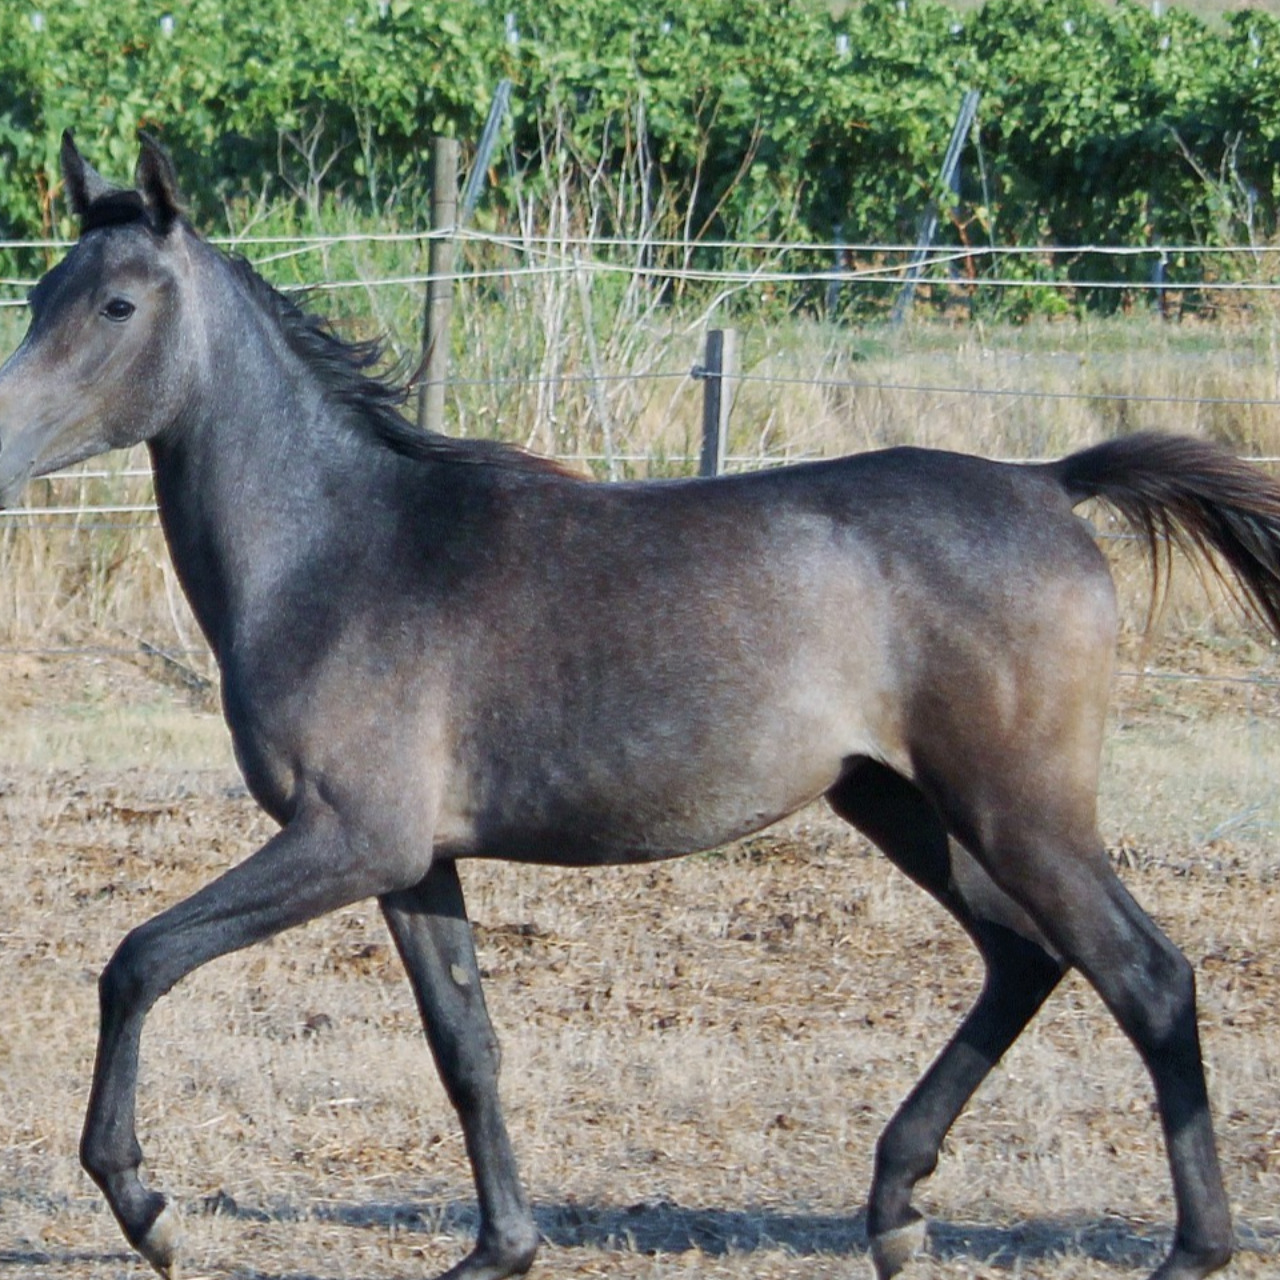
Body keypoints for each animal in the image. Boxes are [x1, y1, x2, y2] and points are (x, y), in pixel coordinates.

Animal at [2, 132, 1280, 1280]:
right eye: (42, 290)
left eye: (115, 303)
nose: (2, 450)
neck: (342, 549)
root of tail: (1046, 483)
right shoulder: (413, 859)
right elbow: (465, 1044)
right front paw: (500, 1249)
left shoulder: (347, 837)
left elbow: (138, 959)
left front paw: (146, 1206)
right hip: (898, 801)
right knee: (1022, 957)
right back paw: (893, 1208)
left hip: (1017, 806)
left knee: (1144, 974)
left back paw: (1186, 1248)